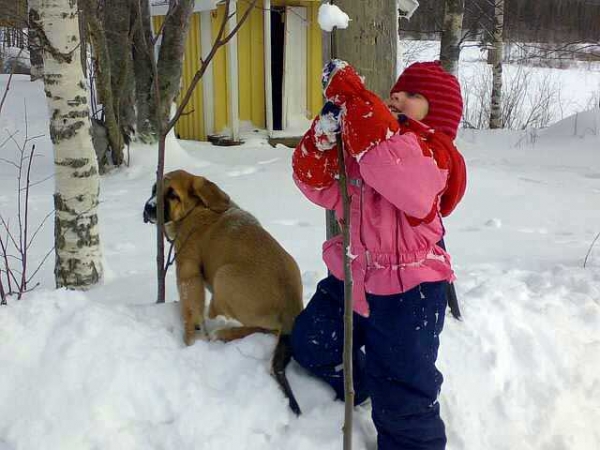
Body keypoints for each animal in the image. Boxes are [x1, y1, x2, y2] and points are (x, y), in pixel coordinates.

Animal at [143, 170, 304, 414]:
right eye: (154, 189)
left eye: (172, 195)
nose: (148, 208)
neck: (196, 209)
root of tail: (292, 311)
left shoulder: (188, 271)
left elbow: (192, 311)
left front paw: (192, 342)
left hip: (223, 276)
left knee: (265, 328)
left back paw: (224, 333)